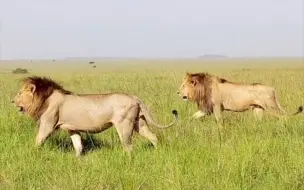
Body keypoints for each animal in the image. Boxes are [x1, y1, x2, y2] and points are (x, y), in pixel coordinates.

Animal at [12, 76, 178, 157]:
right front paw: (77, 159)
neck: (45, 98)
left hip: (124, 124)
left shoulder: (48, 124)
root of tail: (135, 97)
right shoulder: (72, 129)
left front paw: (31, 154)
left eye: (19, 93)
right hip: (139, 122)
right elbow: (78, 145)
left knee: (128, 146)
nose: (12, 101)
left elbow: (38, 140)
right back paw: (158, 153)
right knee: (153, 136)